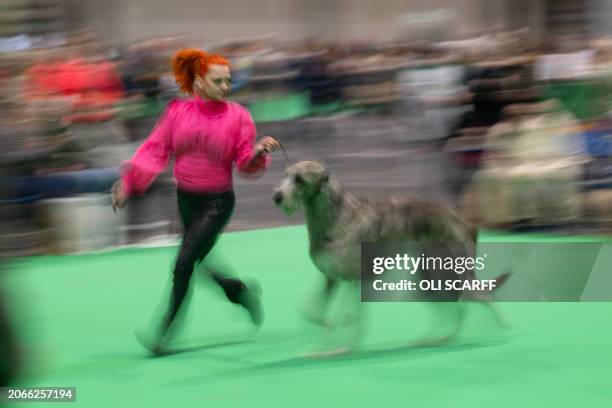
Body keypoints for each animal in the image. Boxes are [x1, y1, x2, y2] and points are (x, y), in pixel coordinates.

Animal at [274, 161, 510, 350]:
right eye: (285, 175)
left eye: (299, 179)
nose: (277, 197)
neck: (337, 215)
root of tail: (462, 220)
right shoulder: (331, 278)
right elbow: (311, 312)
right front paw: (324, 338)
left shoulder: (353, 280)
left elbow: (350, 318)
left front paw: (342, 348)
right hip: (427, 278)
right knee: (455, 308)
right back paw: (434, 340)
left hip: (451, 271)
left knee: (479, 297)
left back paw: (498, 329)